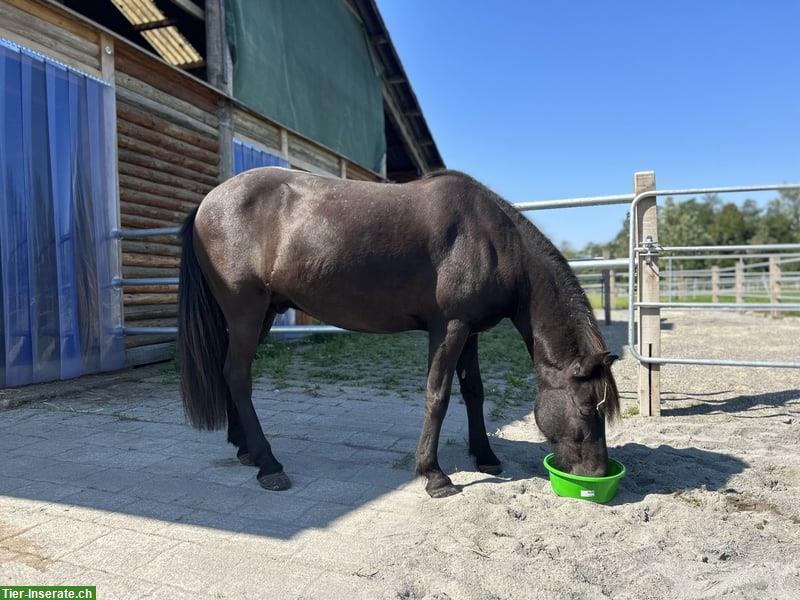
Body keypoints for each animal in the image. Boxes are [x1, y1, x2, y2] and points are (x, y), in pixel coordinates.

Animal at [178, 168, 620, 496]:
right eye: (587, 406)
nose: (597, 473)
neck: (492, 239)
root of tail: (207, 202)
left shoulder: (471, 332)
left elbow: (473, 392)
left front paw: (486, 456)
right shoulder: (449, 328)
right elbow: (438, 395)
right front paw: (434, 474)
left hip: (262, 313)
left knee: (232, 373)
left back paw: (246, 451)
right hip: (246, 311)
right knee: (237, 375)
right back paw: (269, 464)